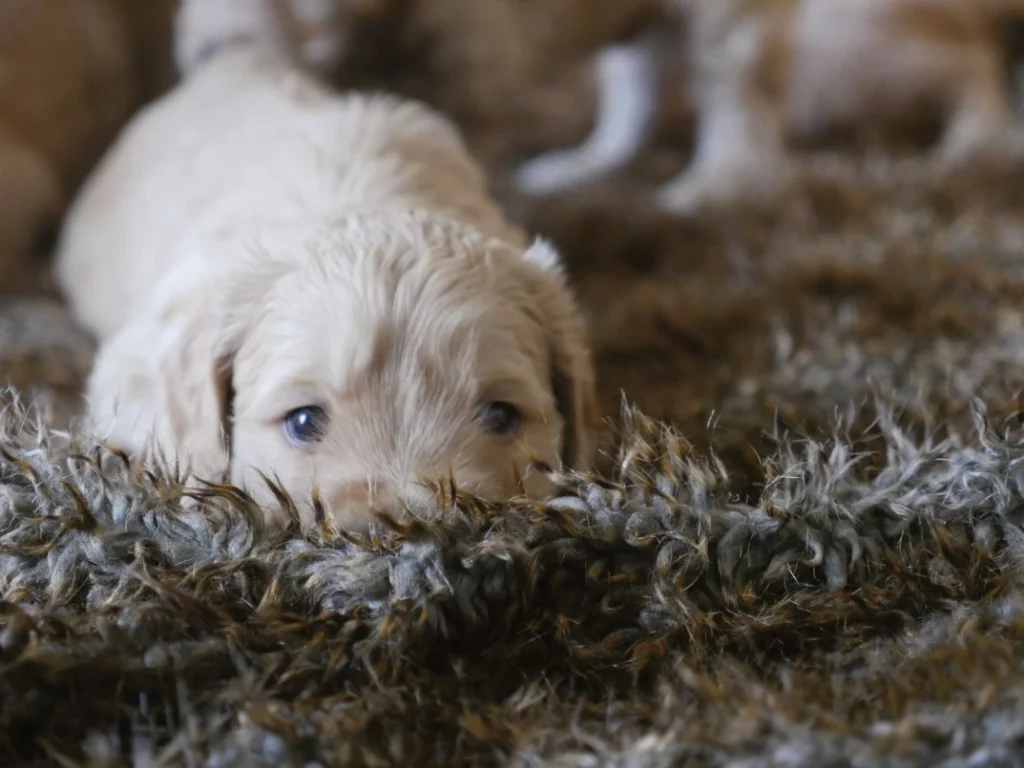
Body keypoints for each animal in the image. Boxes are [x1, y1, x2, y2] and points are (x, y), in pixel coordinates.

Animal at [516, 0, 1024, 214]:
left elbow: (731, 100)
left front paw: (705, 193)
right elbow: (627, 104)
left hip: (839, 49)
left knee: (976, 68)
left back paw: (969, 142)